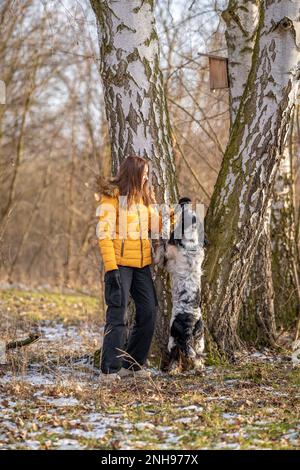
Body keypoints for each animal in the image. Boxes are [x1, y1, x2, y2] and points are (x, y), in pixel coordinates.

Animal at [154, 196, 205, 372]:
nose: (186, 200)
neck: (191, 241)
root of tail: (189, 324)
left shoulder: (163, 257)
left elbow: (161, 241)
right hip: (200, 339)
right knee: (197, 356)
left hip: (172, 338)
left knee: (176, 354)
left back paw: (172, 370)